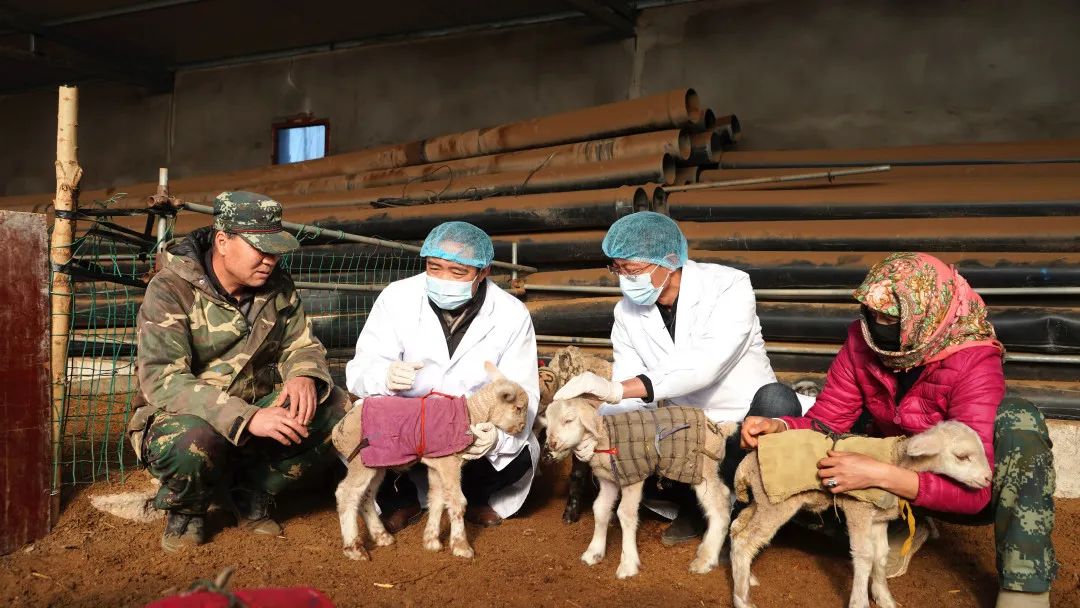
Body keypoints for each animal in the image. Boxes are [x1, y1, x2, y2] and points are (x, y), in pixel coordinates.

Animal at [331, 361, 529, 561]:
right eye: (519, 408)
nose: (521, 428)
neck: (472, 414)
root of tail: (337, 430)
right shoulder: (449, 463)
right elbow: (457, 502)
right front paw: (461, 547)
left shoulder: (437, 464)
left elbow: (437, 499)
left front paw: (431, 541)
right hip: (359, 461)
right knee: (346, 493)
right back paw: (354, 549)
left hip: (375, 464)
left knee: (366, 496)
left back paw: (382, 536)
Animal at [542, 396, 738, 579]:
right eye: (547, 423)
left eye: (568, 420)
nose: (550, 445)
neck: (605, 439)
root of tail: (720, 429)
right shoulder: (609, 481)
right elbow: (600, 509)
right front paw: (594, 552)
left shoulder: (633, 478)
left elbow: (625, 514)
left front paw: (628, 564)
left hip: (704, 468)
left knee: (720, 504)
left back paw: (706, 559)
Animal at [729, 420, 992, 608]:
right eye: (962, 456)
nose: (988, 478)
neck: (897, 462)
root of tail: (747, 462)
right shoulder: (859, 510)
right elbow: (864, 556)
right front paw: (860, 602)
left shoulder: (878, 519)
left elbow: (881, 555)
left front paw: (885, 598)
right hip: (776, 502)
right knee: (745, 540)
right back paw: (742, 600)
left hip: (760, 500)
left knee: (737, 528)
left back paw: (746, 578)